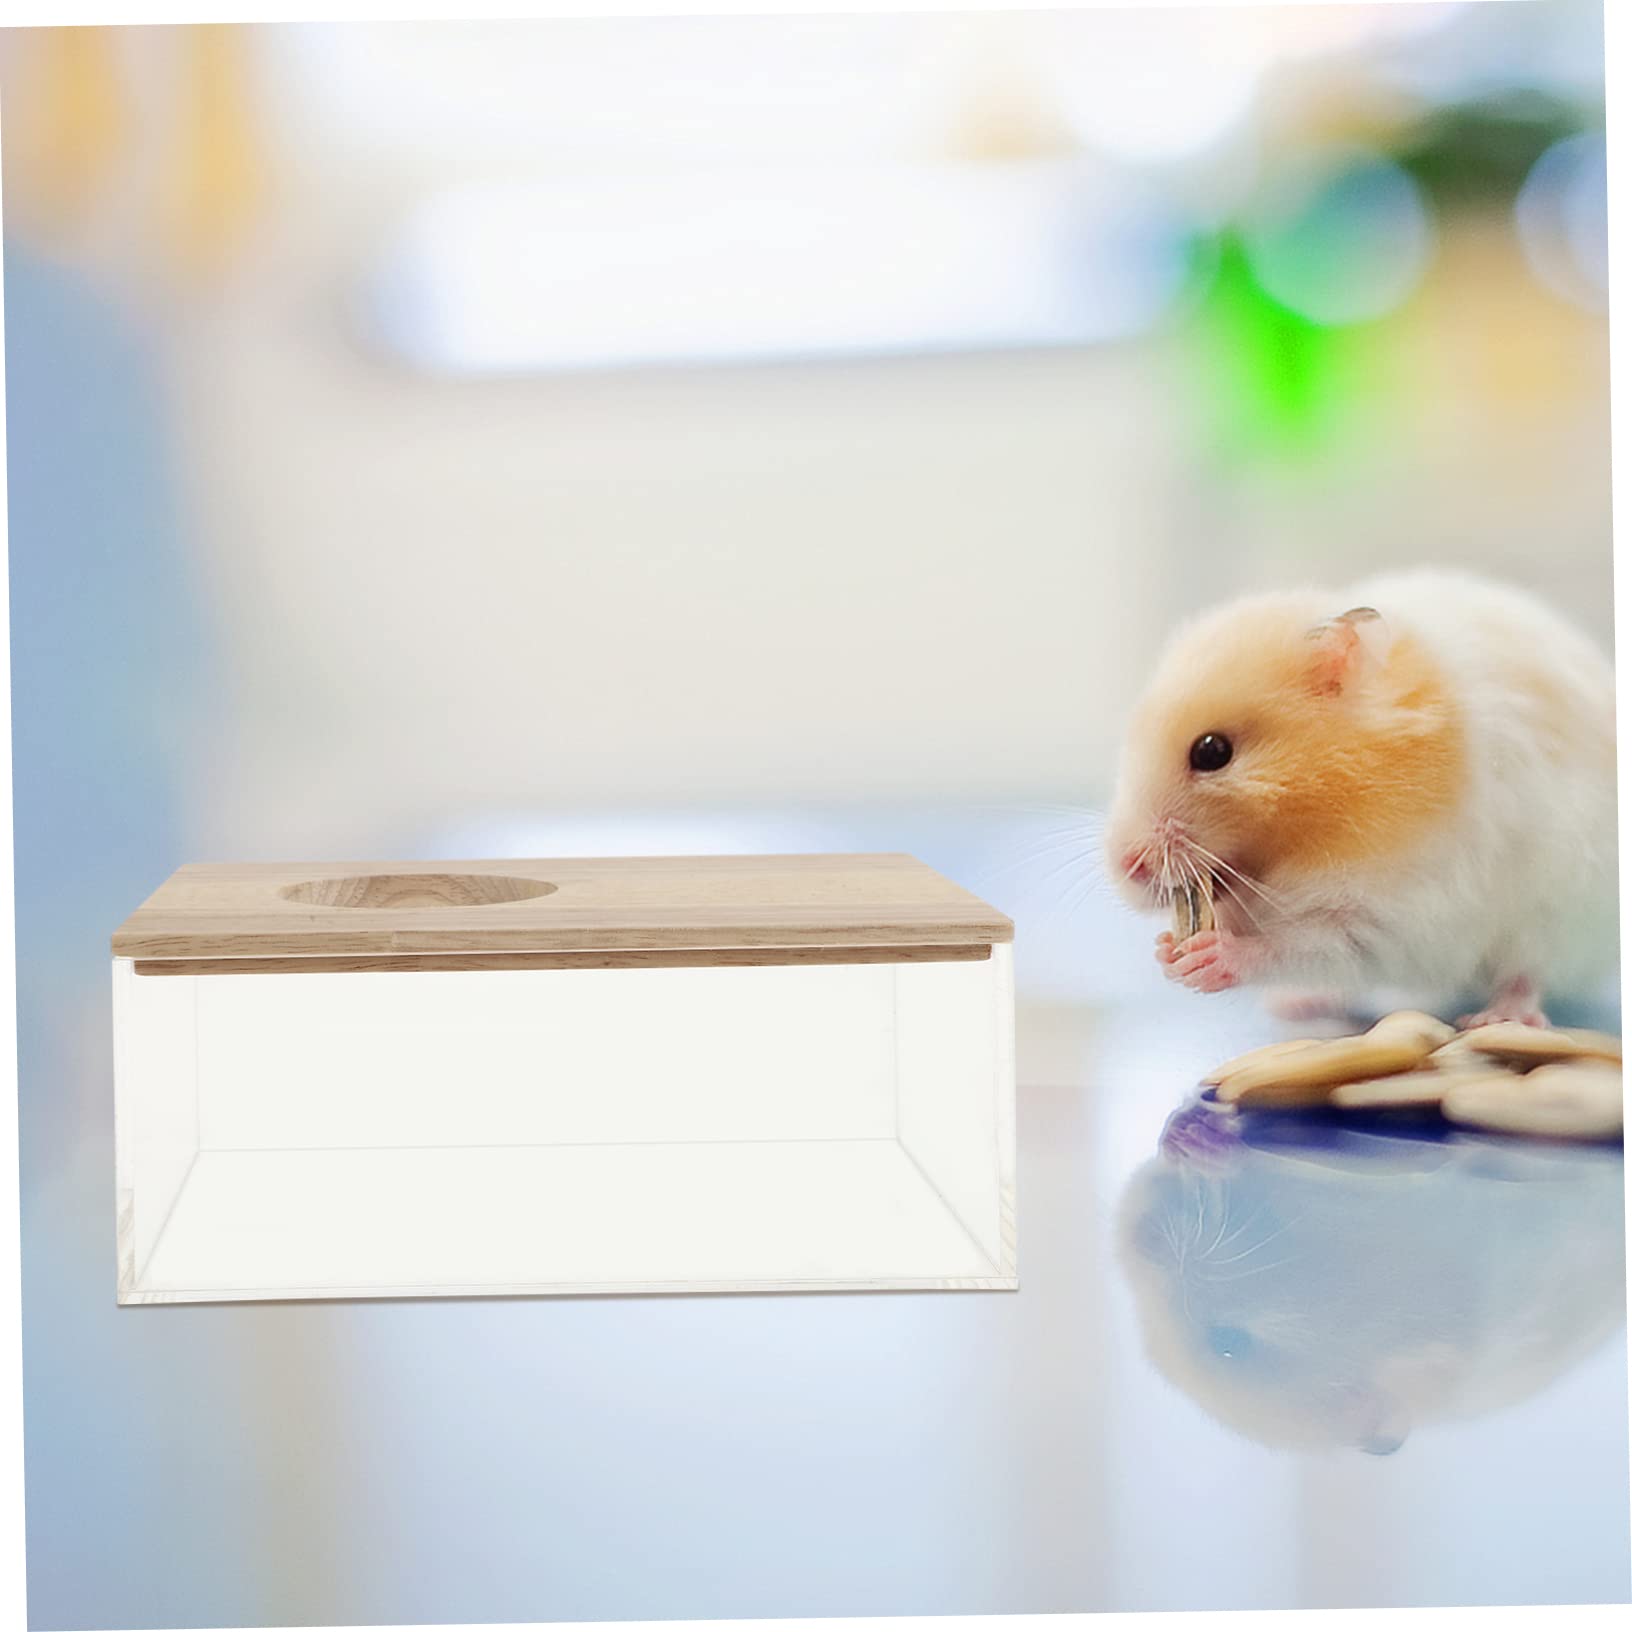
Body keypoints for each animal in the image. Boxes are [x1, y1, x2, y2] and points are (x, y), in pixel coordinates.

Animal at [1104, 568, 1618, 1026]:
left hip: (1555, 919)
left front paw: (1206, 957)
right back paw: (1293, 1004)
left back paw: (1497, 1019)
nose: (1127, 867)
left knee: (1526, 975)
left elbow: (1308, 945)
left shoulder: (1403, 912)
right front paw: (1165, 953)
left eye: (1212, 752)